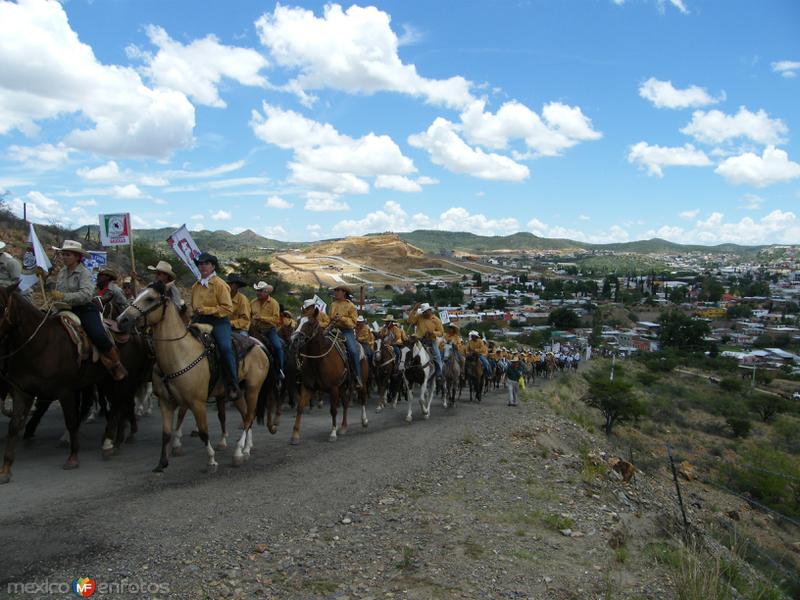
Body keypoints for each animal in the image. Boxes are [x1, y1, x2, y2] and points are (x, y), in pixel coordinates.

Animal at [0, 282, 147, 482]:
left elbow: (71, 420)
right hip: (105, 381)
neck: (40, 344)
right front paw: (6, 469)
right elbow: (14, 426)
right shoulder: (22, 391)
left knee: (120, 405)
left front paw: (73, 457)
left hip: (122, 380)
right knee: (118, 405)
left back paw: (110, 443)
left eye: (1, 306)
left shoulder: (66, 391)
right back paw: (115, 441)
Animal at [117, 282, 270, 474]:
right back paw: (246, 449)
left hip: (253, 389)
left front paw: (211, 461)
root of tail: (259, 346)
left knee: (249, 416)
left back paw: (238, 453)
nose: (121, 320)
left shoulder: (196, 402)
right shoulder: (166, 402)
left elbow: (204, 431)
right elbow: (166, 433)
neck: (180, 354)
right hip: (238, 393)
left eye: (150, 298)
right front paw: (162, 463)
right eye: (138, 294)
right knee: (246, 415)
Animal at [290, 314, 368, 446]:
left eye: (310, 324)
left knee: (362, 398)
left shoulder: (333, 388)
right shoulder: (307, 387)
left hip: (360, 382)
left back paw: (364, 420)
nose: (294, 339)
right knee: (346, 403)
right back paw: (343, 427)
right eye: (297, 322)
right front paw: (295, 435)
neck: (319, 359)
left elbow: (333, 410)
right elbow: (300, 408)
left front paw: (332, 433)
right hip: (342, 387)